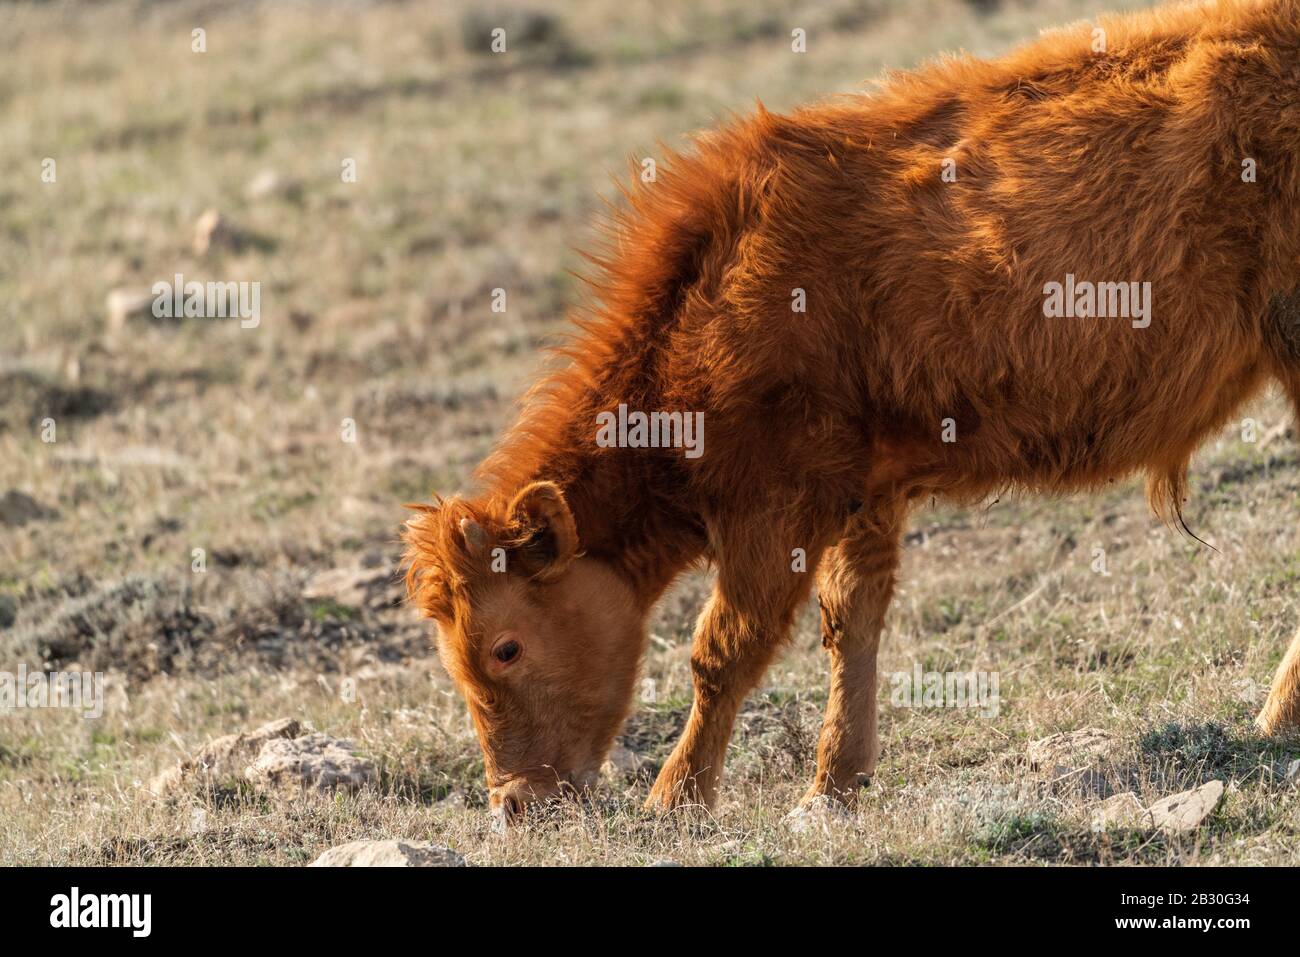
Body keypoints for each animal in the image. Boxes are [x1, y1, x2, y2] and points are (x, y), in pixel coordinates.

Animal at [408, 0, 1300, 821]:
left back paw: (1276, 715)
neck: (712, 296)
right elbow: (850, 624)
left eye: (506, 647)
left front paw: (677, 794)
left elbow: (722, 649)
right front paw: (836, 781)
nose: (513, 801)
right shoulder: (862, 489)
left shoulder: (776, 506)